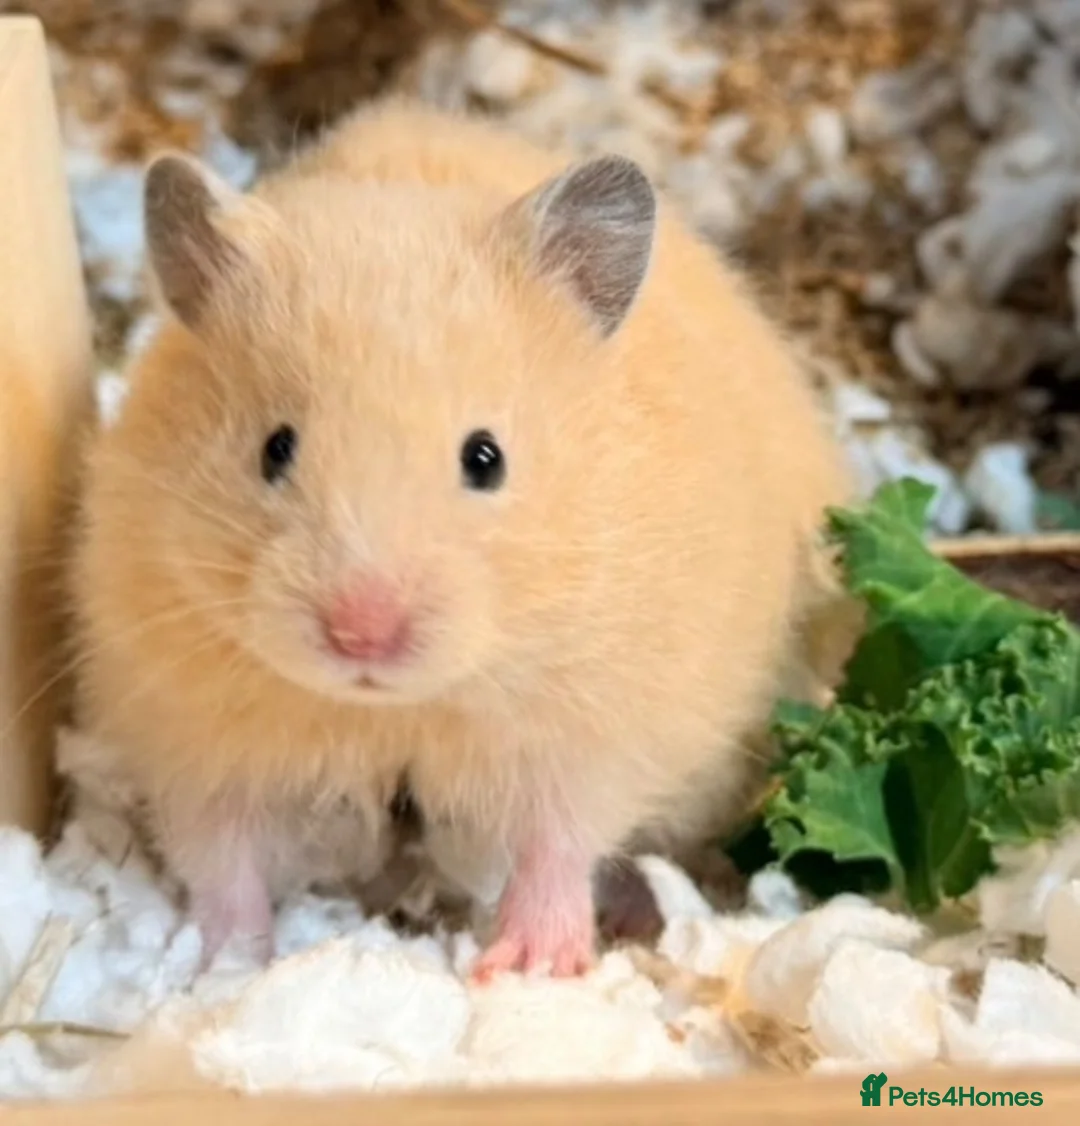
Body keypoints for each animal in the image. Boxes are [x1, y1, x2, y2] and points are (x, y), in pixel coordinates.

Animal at [69, 96, 858, 978]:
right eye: (274, 448)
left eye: (486, 458)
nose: (361, 634)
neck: (401, 705)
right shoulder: (189, 727)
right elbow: (222, 853)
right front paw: (230, 962)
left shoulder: (598, 727)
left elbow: (558, 842)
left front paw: (526, 967)